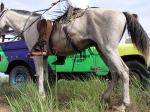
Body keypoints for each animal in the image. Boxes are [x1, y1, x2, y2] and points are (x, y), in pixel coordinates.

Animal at [0, 2, 150, 112]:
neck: (29, 25)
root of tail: (121, 13)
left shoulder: (36, 56)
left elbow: (40, 77)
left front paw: (41, 98)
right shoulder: (44, 56)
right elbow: (46, 76)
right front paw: (48, 96)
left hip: (109, 50)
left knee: (124, 71)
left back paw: (123, 104)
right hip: (103, 50)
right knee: (114, 72)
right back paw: (105, 97)